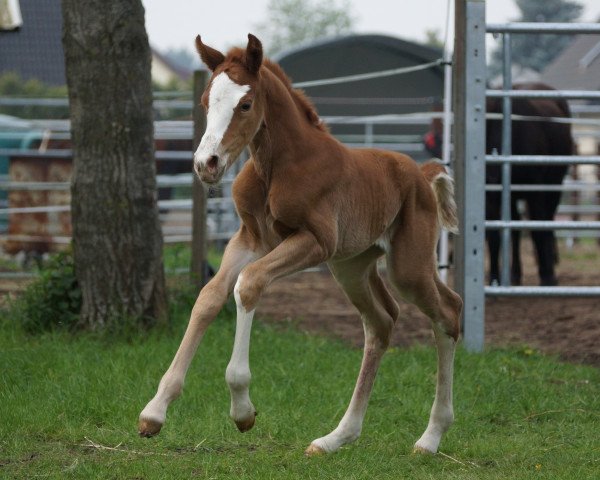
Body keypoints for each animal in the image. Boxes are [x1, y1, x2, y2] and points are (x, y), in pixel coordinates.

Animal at [138, 33, 462, 454]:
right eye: (206, 102)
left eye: (245, 104)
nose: (205, 164)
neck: (278, 166)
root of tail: (422, 173)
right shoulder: (251, 238)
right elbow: (209, 296)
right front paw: (154, 411)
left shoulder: (314, 242)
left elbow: (249, 284)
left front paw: (242, 410)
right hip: (352, 266)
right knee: (381, 322)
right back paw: (336, 438)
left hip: (407, 266)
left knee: (448, 312)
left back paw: (430, 436)